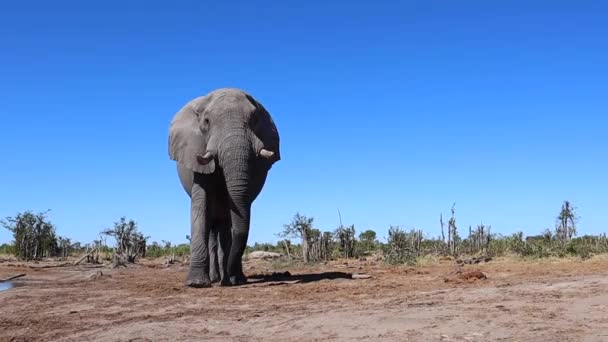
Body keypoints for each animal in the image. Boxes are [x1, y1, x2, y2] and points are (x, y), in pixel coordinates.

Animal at [167, 87, 280, 286]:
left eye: (255, 120)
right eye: (206, 121)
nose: (230, 279)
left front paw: (234, 280)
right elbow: (200, 204)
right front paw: (196, 283)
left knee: (225, 227)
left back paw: (230, 279)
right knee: (212, 229)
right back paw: (215, 279)